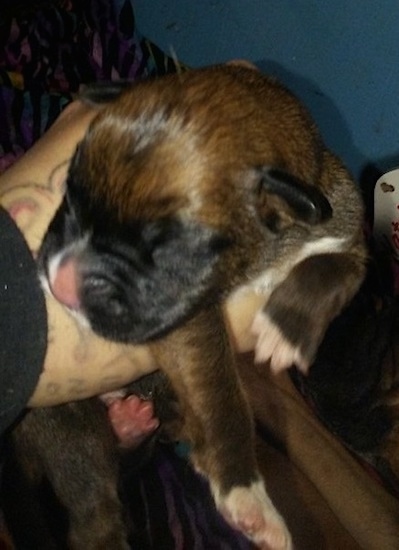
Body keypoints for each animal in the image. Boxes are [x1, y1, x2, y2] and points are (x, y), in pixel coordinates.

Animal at [31, 62, 368, 548]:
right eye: (68, 196)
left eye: (165, 248)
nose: (61, 282)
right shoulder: (191, 322)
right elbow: (217, 390)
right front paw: (245, 491)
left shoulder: (345, 225)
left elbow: (334, 270)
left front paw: (286, 331)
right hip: (67, 421)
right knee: (95, 509)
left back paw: (132, 424)